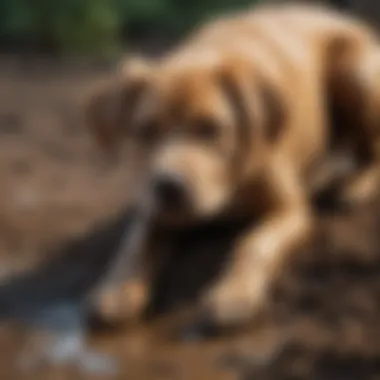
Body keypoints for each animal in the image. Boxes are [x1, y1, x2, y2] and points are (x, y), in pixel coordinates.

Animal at [84, 2, 380, 328]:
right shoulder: (152, 209)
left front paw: (235, 294)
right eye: (145, 130)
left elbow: (252, 245)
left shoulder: (289, 210)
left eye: (211, 128)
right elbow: (134, 246)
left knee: (372, 150)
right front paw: (118, 290)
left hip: (356, 74)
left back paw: (355, 186)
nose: (168, 186)